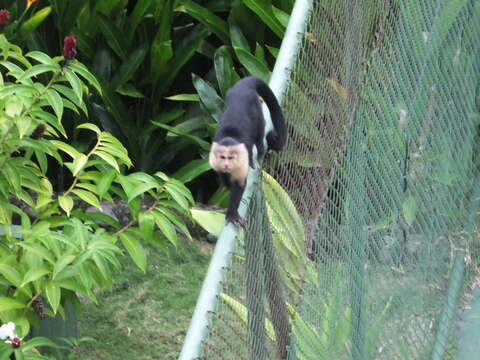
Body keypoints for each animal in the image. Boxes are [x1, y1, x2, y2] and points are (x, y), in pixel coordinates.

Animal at [209, 76, 284, 226]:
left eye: (231, 157)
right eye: (222, 157)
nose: (226, 165)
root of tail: (243, 85)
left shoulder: (242, 158)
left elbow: (239, 183)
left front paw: (232, 214)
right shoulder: (214, 157)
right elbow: (223, 176)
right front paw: (227, 182)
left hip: (256, 106)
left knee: (259, 131)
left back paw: (260, 149)